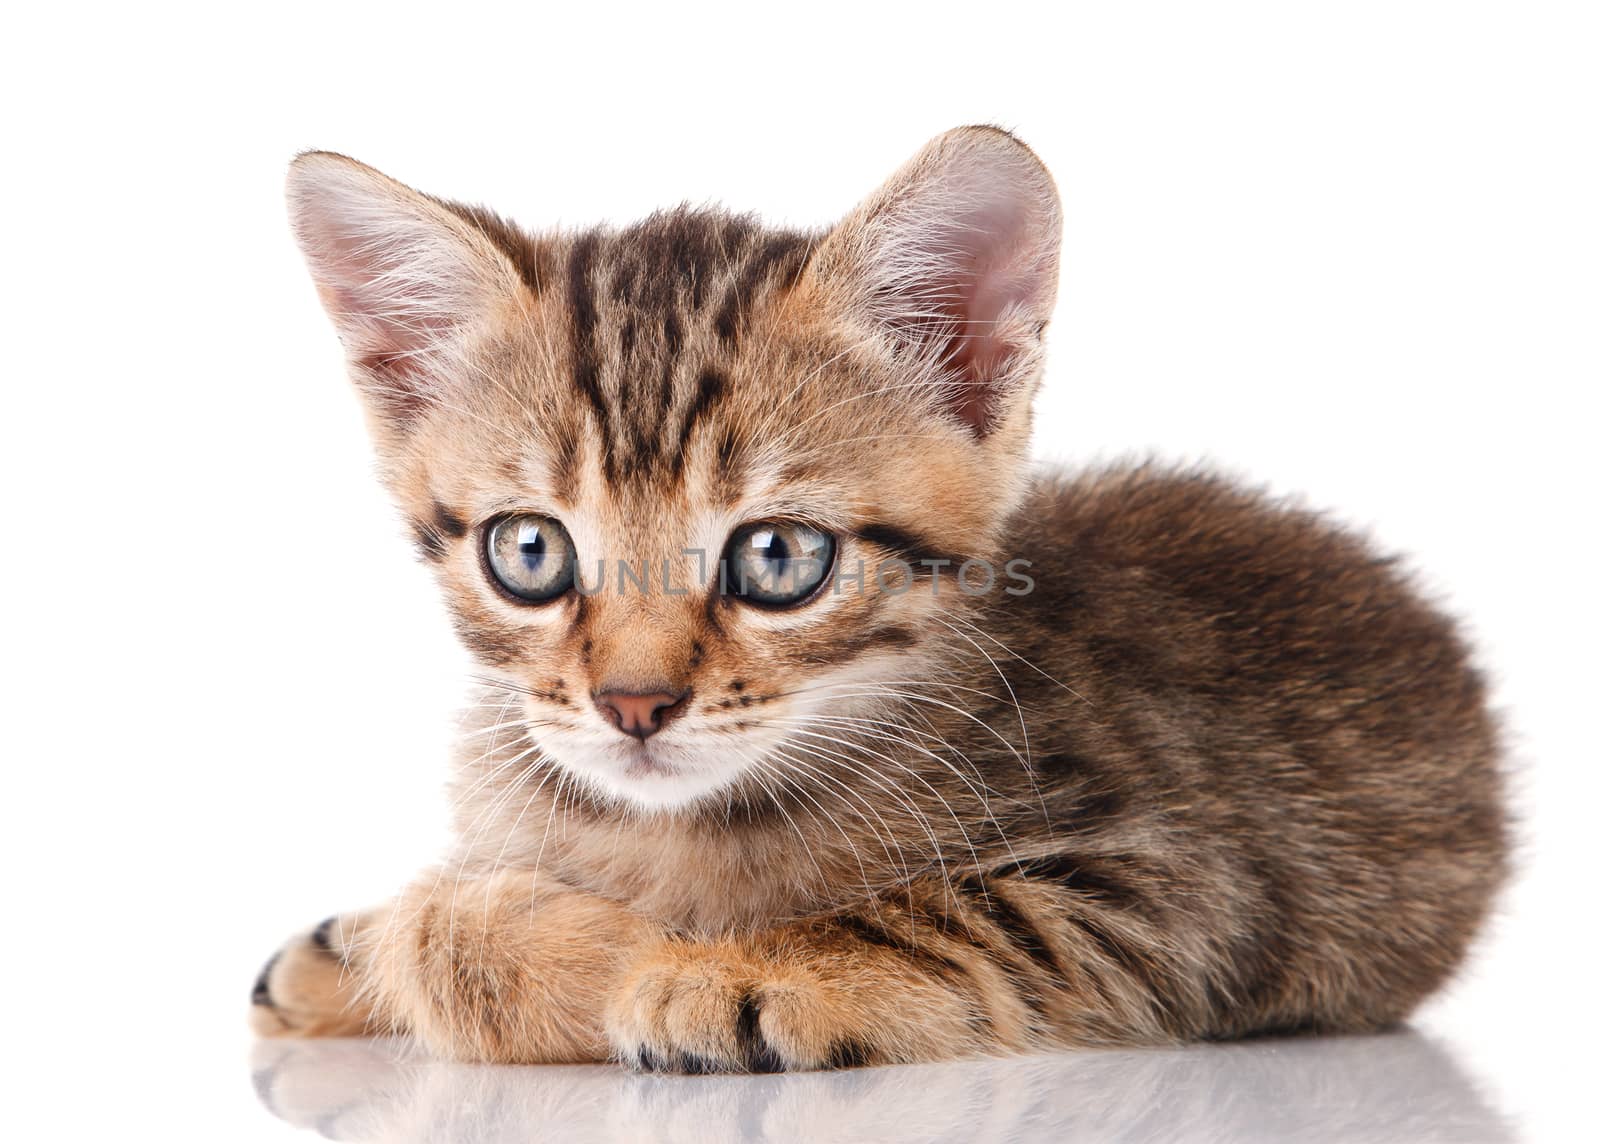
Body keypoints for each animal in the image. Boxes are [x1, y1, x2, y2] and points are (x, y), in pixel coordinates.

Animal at [252, 127, 1510, 1075]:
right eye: (529, 551)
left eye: (776, 558)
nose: (632, 705)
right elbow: (444, 913)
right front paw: (371, 941)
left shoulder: (1191, 883)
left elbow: (960, 910)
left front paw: (708, 966)